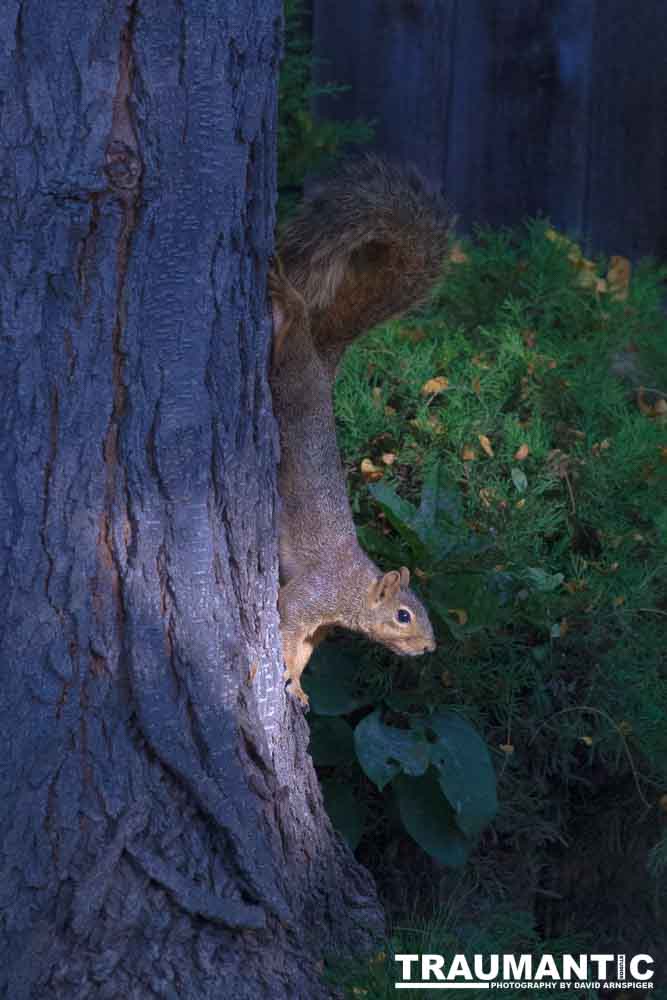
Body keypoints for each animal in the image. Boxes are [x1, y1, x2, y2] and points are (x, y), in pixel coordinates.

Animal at [268, 156, 452, 704]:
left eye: (423, 611)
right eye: (403, 615)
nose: (429, 648)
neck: (354, 592)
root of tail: (322, 359)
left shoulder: (319, 626)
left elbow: (302, 652)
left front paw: (299, 687)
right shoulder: (309, 597)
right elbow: (285, 623)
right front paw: (288, 679)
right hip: (290, 379)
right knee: (293, 326)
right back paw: (286, 296)